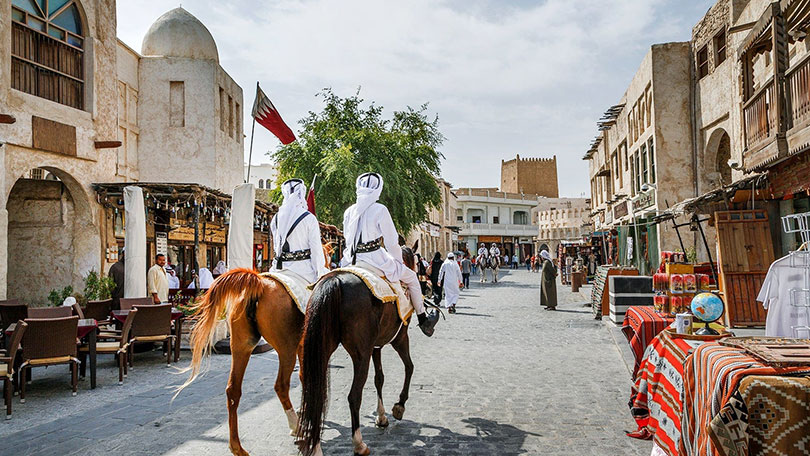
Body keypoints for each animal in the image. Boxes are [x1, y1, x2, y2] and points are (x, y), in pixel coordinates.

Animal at [179, 246, 332, 456]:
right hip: (286, 350)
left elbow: (304, 377)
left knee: (233, 390)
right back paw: (295, 426)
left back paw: (236, 447)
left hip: (241, 346)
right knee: (280, 385)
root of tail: (259, 283)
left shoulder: (303, 348)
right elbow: (309, 377)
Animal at [296, 246, 420, 456]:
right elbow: (409, 367)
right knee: (354, 396)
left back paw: (315, 445)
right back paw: (359, 443)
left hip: (321, 349)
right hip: (361, 355)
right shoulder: (400, 338)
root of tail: (334, 281)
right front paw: (399, 405)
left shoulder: (376, 346)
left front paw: (381, 417)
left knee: (316, 392)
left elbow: (379, 378)